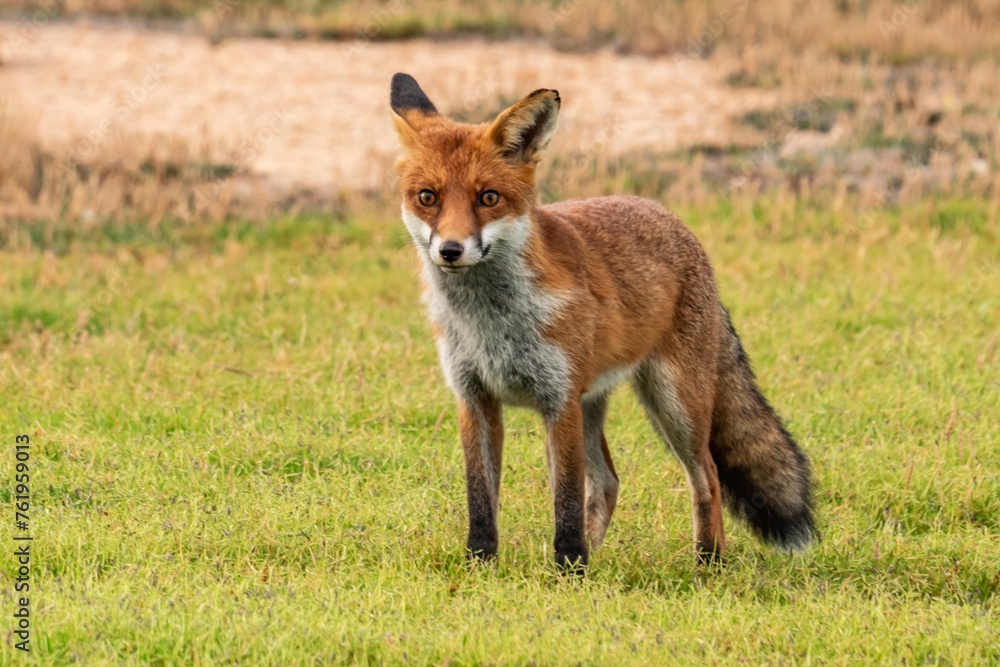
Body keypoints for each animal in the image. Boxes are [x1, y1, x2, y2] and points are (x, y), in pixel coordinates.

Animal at [390, 72, 816, 570]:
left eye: (488, 198)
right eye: (428, 198)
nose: (451, 250)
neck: (492, 325)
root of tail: (669, 217)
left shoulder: (559, 399)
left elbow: (566, 501)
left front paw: (569, 569)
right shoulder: (475, 398)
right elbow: (481, 499)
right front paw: (481, 564)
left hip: (674, 402)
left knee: (706, 474)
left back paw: (707, 562)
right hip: (596, 403)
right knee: (609, 481)